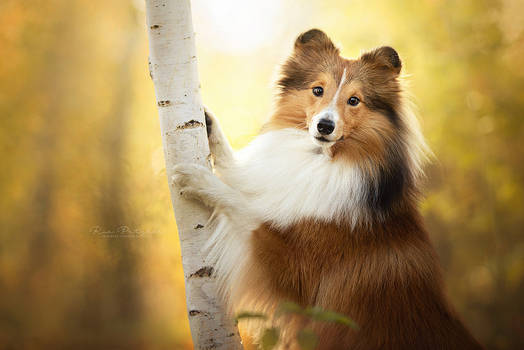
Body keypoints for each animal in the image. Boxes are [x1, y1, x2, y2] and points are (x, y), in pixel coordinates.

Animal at [174, 30, 486, 350]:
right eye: (317, 90)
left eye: (354, 100)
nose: (325, 126)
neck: (322, 158)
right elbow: (239, 173)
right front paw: (208, 122)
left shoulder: (293, 273)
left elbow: (247, 211)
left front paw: (199, 179)